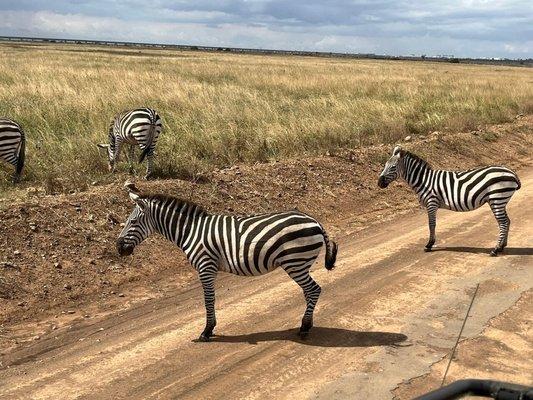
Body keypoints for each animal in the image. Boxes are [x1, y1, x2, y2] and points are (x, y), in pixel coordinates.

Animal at [118, 181, 338, 340]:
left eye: (133, 222)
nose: (119, 248)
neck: (191, 231)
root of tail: (315, 221)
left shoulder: (205, 266)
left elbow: (208, 299)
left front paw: (207, 331)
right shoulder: (209, 268)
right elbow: (210, 299)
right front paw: (209, 328)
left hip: (296, 262)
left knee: (314, 290)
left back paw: (304, 328)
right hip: (299, 264)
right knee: (309, 292)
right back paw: (307, 324)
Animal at [378, 146, 520, 256]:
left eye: (393, 167)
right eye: (385, 165)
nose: (379, 183)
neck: (424, 181)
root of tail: (512, 173)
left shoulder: (431, 202)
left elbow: (431, 224)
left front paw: (429, 244)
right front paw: (430, 243)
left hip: (497, 198)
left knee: (503, 222)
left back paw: (495, 250)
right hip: (498, 200)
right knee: (507, 221)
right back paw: (502, 247)